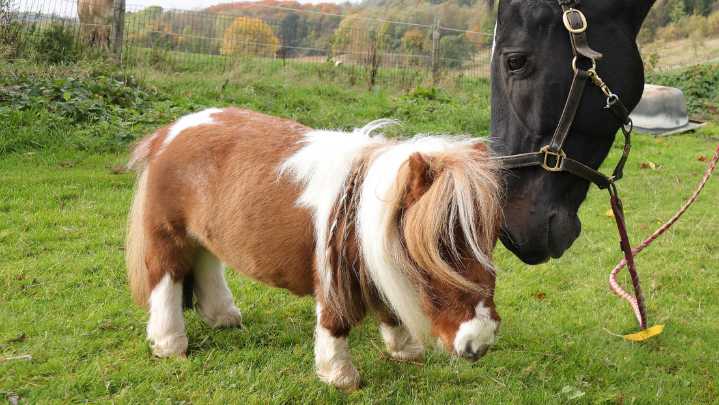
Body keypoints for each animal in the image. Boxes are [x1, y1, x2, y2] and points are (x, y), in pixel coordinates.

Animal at [125, 108, 503, 390]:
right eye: (441, 247)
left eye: (487, 240)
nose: (479, 341)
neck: (360, 209)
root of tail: (169, 132)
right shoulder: (332, 273)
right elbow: (334, 322)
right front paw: (340, 376)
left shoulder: (375, 264)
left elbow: (389, 308)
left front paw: (405, 350)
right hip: (168, 236)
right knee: (167, 281)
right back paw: (170, 343)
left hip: (202, 235)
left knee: (207, 264)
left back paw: (223, 317)